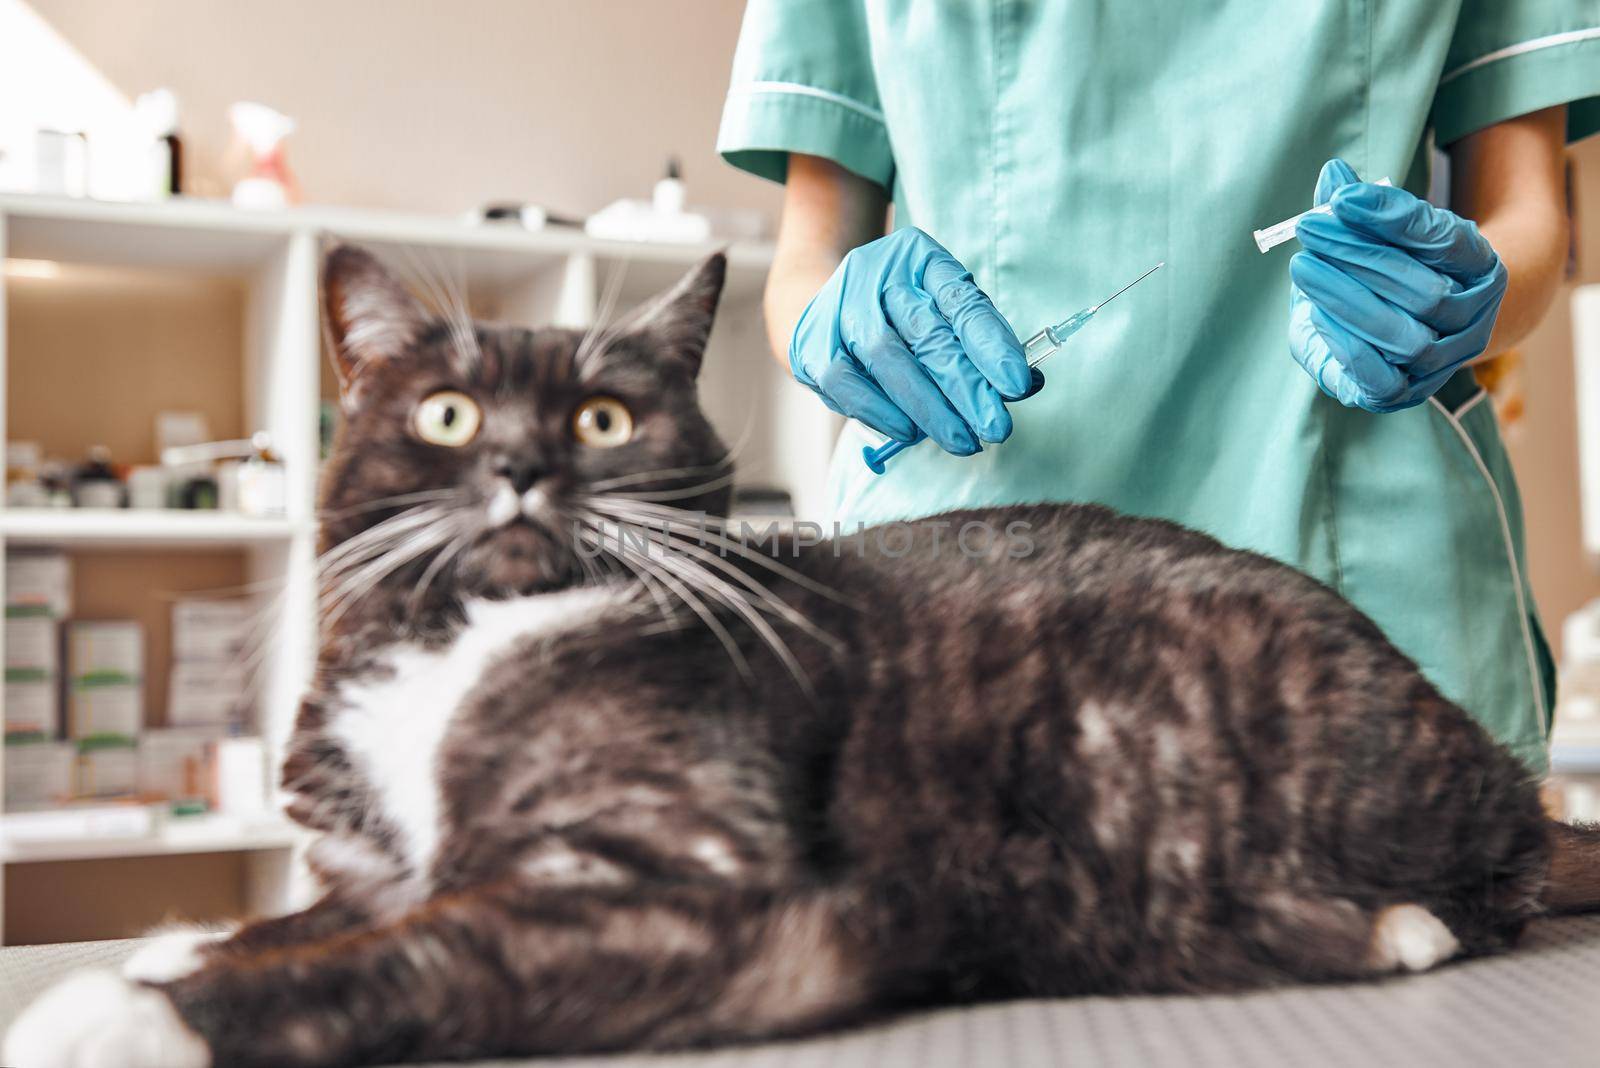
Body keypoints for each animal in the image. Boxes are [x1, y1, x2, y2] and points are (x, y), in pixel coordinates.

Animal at [12, 244, 1600, 1068]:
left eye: (603, 419)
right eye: (450, 415)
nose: (524, 466)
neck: (469, 642)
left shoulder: (677, 888)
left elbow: (410, 953)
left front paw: (123, 1016)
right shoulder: (383, 863)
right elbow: (319, 919)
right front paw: (185, 940)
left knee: (1479, 883)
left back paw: (1391, 922)